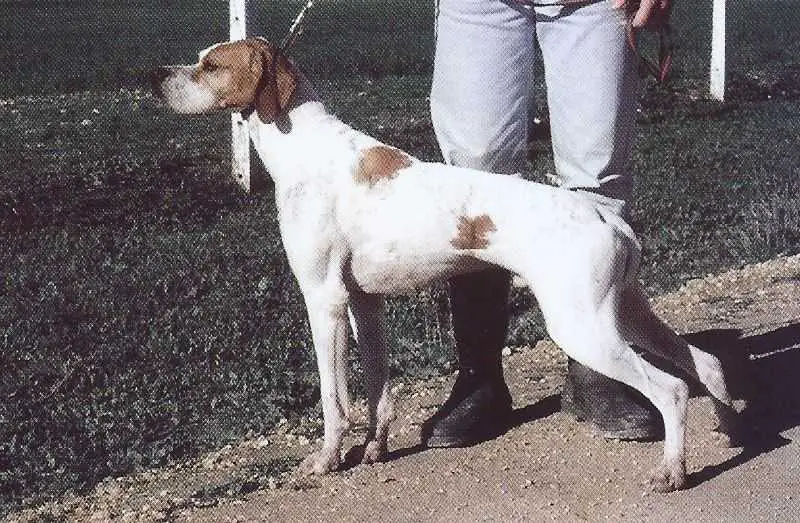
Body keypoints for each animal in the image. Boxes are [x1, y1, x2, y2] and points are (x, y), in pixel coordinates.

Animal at [153, 39, 740, 494]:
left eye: (211, 65)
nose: (155, 76)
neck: (306, 149)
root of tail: (604, 215)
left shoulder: (325, 300)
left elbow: (333, 399)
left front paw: (326, 460)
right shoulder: (365, 304)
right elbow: (377, 389)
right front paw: (375, 449)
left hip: (583, 327)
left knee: (672, 389)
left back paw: (672, 471)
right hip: (626, 312)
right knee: (706, 363)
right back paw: (729, 422)